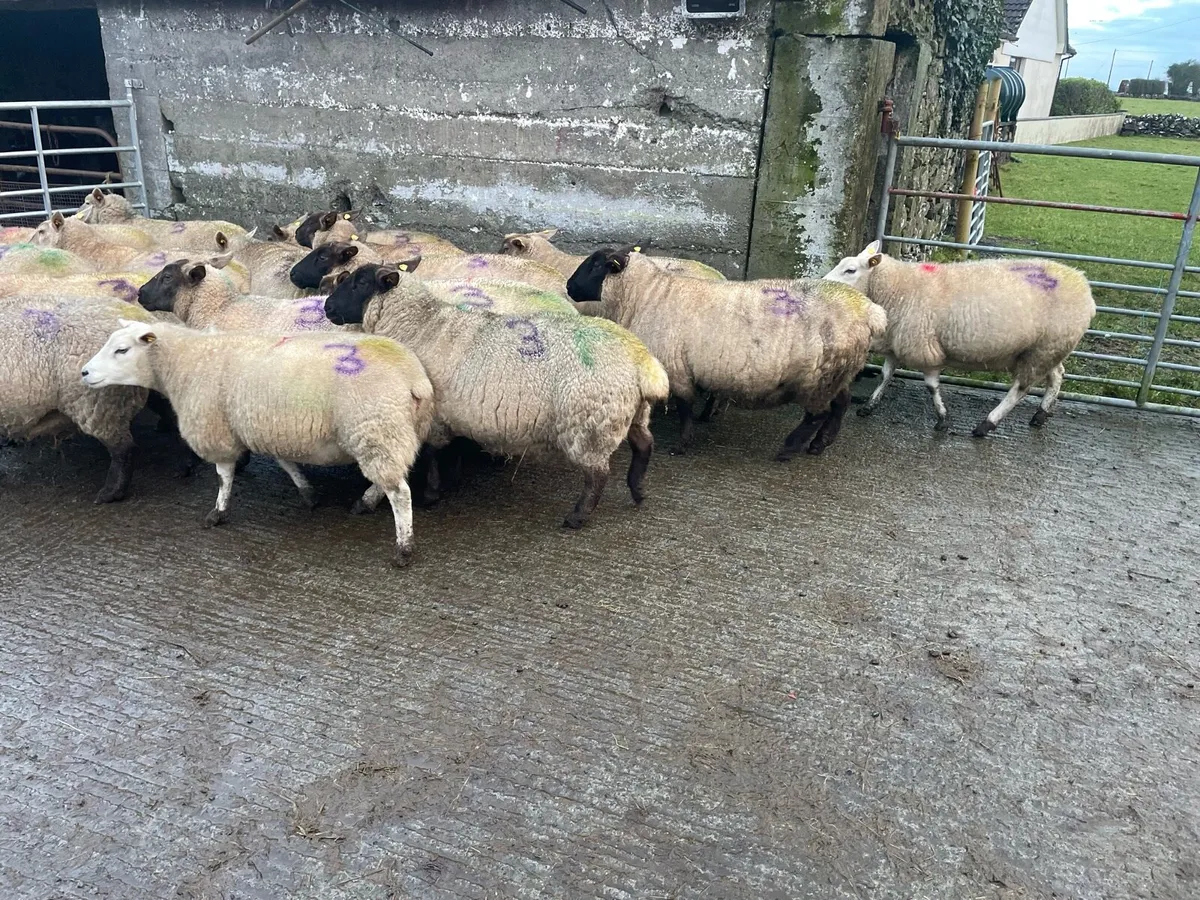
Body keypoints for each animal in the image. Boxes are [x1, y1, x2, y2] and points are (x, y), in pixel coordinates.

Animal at [81, 321, 434, 566]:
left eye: (122, 350)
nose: (84, 372)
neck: (187, 361)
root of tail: (414, 378)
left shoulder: (217, 429)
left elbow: (224, 475)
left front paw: (217, 513)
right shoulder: (265, 428)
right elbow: (285, 462)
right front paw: (308, 493)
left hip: (376, 428)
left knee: (399, 493)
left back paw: (403, 548)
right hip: (395, 433)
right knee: (390, 480)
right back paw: (366, 502)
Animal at [324, 263, 669, 528]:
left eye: (360, 283)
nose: (327, 306)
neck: (420, 324)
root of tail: (642, 360)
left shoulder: (433, 417)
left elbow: (432, 455)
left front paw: (431, 494)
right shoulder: (452, 414)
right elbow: (449, 452)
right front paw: (451, 481)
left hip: (591, 423)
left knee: (598, 474)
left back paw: (578, 516)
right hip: (631, 413)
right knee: (644, 445)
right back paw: (638, 490)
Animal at [567, 245, 887, 460]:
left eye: (596, 265)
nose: (568, 286)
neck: (644, 294)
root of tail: (871, 312)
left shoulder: (677, 367)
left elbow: (685, 406)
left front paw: (681, 445)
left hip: (819, 378)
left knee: (816, 414)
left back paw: (789, 448)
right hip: (839, 372)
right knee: (840, 404)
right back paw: (821, 444)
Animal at [823, 241, 1096, 435]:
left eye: (850, 270)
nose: (823, 283)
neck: (898, 288)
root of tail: (1083, 283)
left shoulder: (925, 347)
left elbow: (931, 386)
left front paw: (942, 419)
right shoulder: (897, 341)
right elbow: (885, 375)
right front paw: (869, 406)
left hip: (1044, 348)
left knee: (1021, 388)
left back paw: (987, 424)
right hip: (1048, 346)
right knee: (1057, 375)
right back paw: (1040, 414)